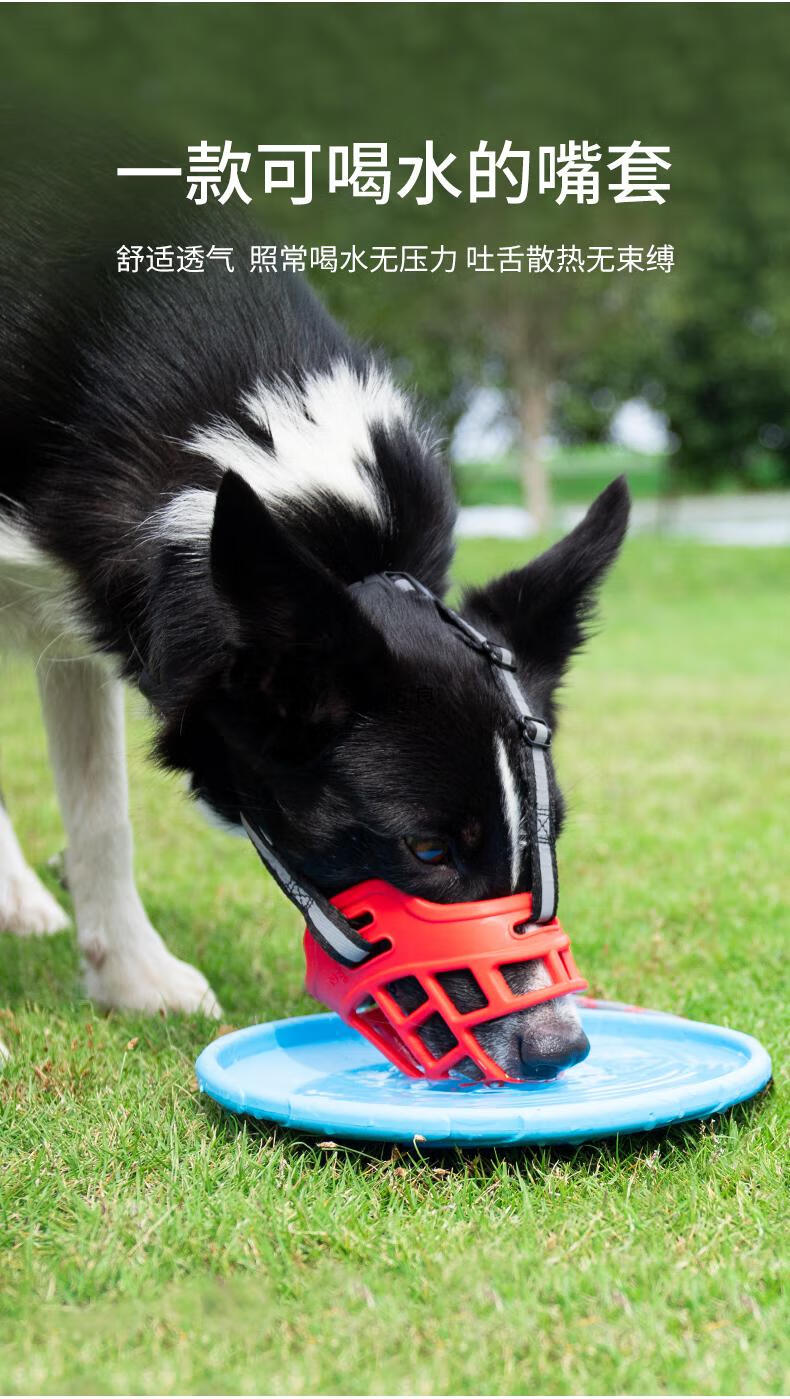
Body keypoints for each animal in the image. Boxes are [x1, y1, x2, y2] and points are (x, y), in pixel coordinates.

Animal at [0, 191, 629, 1074]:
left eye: (550, 834)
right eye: (427, 851)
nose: (560, 1047)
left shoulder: (81, 609)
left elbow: (102, 814)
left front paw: (131, 977)